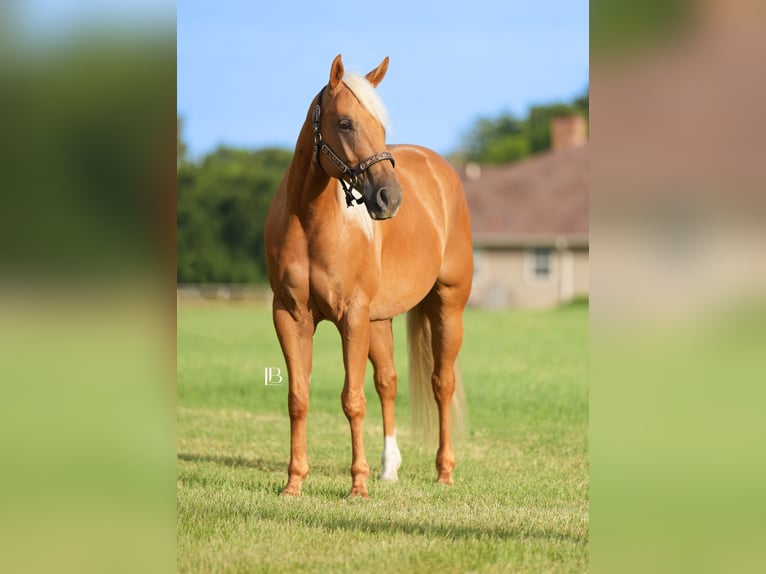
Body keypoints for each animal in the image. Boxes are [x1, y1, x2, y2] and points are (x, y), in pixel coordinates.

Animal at [265, 55, 473, 498]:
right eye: (345, 123)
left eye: (381, 127)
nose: (389, 199)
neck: (310, 223)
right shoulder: (290, 316)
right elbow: (298, 397)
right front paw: (294, 482)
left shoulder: (352, 316)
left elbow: (352, 400)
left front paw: (357, 484)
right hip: (380, 320)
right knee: (388, 383)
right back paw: (389, 468)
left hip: (447, 306)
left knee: (441, 383)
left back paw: (444, 471)